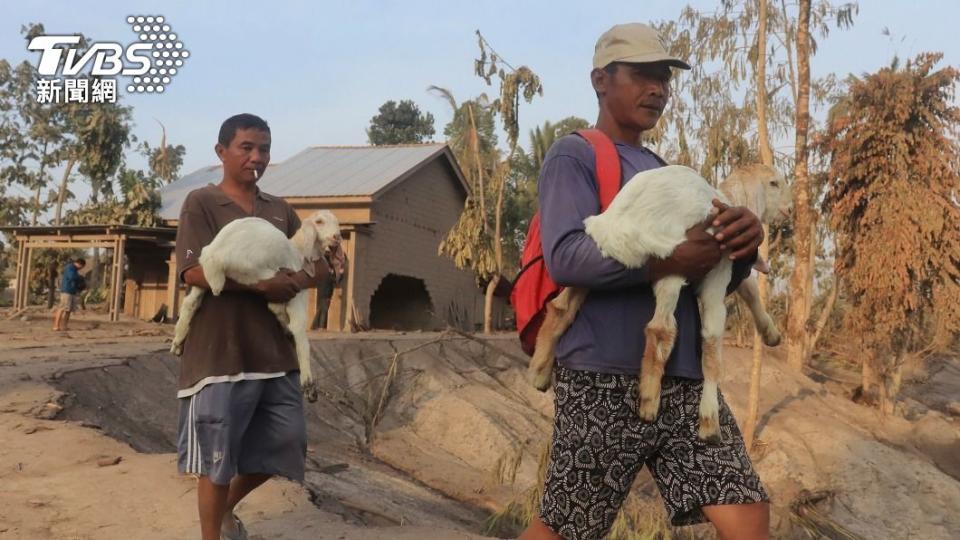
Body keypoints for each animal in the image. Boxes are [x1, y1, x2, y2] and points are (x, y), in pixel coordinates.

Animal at [171, 210, 344, 400]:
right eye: (319, 221)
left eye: (337, 222)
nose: (337, 237)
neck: (298, 251)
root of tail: (214, 256)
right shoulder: (297, 296)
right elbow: (300, 333)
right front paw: (308, 384)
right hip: (259, 273)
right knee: (273, 303)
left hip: (206, 272)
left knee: (190, 301)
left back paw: (178, 341)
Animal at [528, 165, 792, 442]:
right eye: (774, 183)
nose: (790, 208)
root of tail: (617, 226)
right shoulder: (717, 275)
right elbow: (712, 342)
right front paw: (709, 420)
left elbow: (748, 288)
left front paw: (771, 333)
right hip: (673, 263)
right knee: (661, 328)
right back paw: (649, 399)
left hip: (592, 259)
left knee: (562, 306)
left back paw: (539, 371)